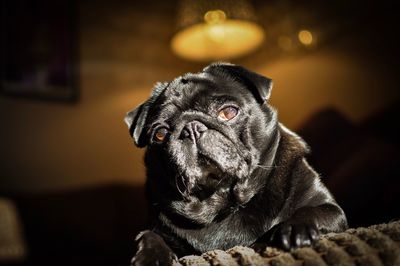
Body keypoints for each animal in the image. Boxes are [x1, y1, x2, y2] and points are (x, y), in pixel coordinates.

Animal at [125, 62, 346, 266]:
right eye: (160, 134)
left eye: (228, 112)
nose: (191, 128)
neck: (225, 201)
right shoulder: (158, 228)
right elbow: (148, 235)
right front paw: (150, 256)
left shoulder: (331, 210)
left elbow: (310, 210)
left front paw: (294, 229)